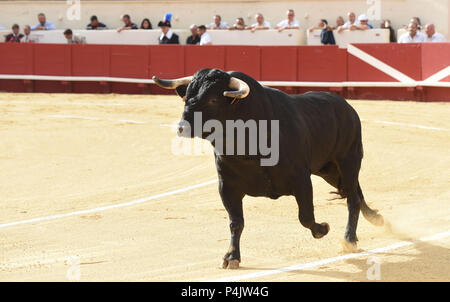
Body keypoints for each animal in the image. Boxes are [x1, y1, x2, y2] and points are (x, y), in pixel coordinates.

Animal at [154, 68, 384, 268]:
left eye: (213, 99)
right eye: (186, 97)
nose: (182, 127)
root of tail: (346, 107)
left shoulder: (301, 180)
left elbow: (306, 216)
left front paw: (323, 229)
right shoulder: (227, 186)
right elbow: (236, 222)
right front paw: (231, 257)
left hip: (349, 160)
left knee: (352, 198)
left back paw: (349, 239)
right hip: (328, 170)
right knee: (354, 192)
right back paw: (375, 218)